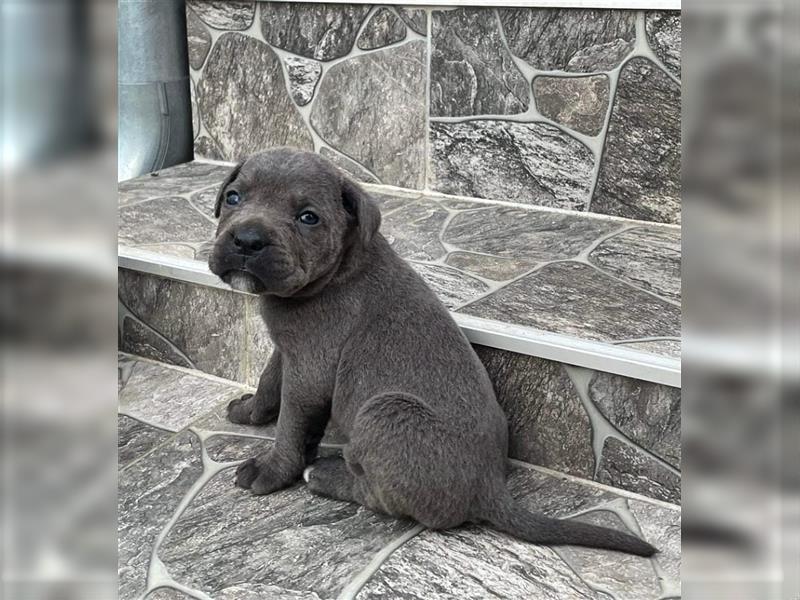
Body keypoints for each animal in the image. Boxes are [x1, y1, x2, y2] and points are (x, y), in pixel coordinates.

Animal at [206, 146, 656, 556]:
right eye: (234, 197)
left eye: (308, 218)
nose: (247, 240)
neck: (334, 273)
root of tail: (490, 489)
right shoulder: (290, 350)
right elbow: (269, 380)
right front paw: (250, 411)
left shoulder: (311, 371)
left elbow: (292, 424)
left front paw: (272, 469)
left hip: (385, 411)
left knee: (385, 500)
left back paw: (328, 477)